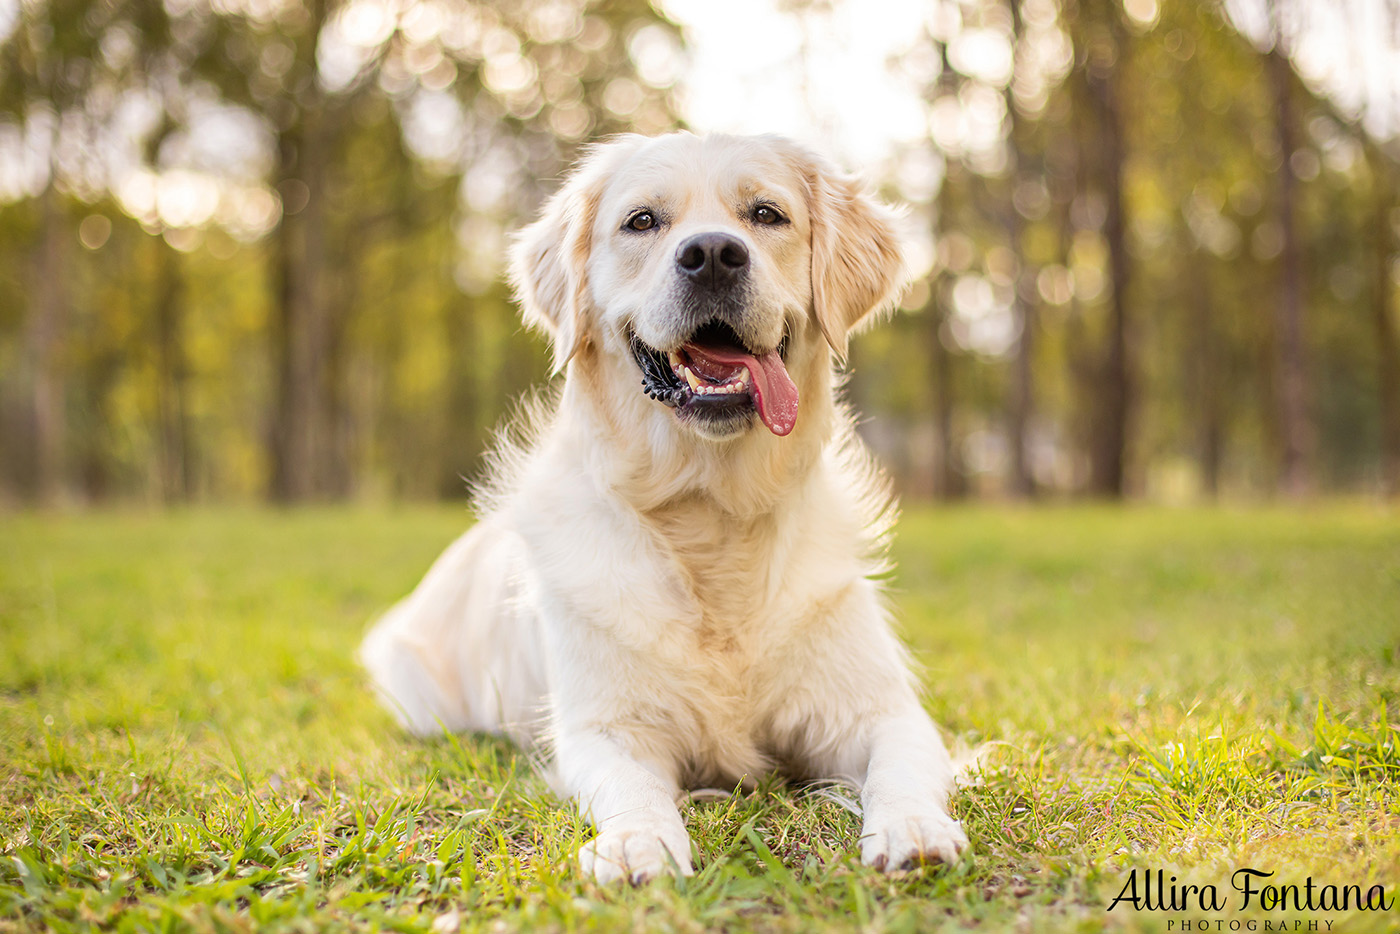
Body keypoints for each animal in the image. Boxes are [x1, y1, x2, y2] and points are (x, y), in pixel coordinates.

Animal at [361, 131, 968, 884]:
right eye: (642, 221)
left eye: (766, 214)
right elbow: (633, 786)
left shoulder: (878, 711)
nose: (711, 254)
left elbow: (901, 767)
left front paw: (915, 828)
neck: (709, 515)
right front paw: (636, 843)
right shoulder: (605, 728)